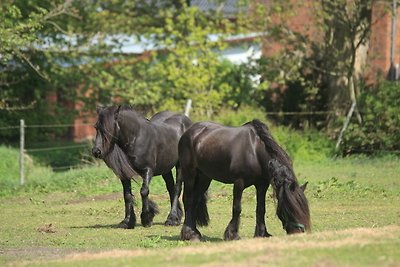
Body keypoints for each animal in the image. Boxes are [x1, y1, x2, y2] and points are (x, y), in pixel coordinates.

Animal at [179, 120, 312, 242]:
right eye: (291, 208)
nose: (299, 232)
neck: (255, 151)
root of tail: (189, 131)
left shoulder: (262, 185)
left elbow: (261, 209)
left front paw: (261, 233)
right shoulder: (239, 182)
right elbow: (237, 208)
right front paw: (232, 235)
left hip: (204, 177)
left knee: (195, 201)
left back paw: (195, 231)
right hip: (190, 174)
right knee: (188, 200)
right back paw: (190, 234)